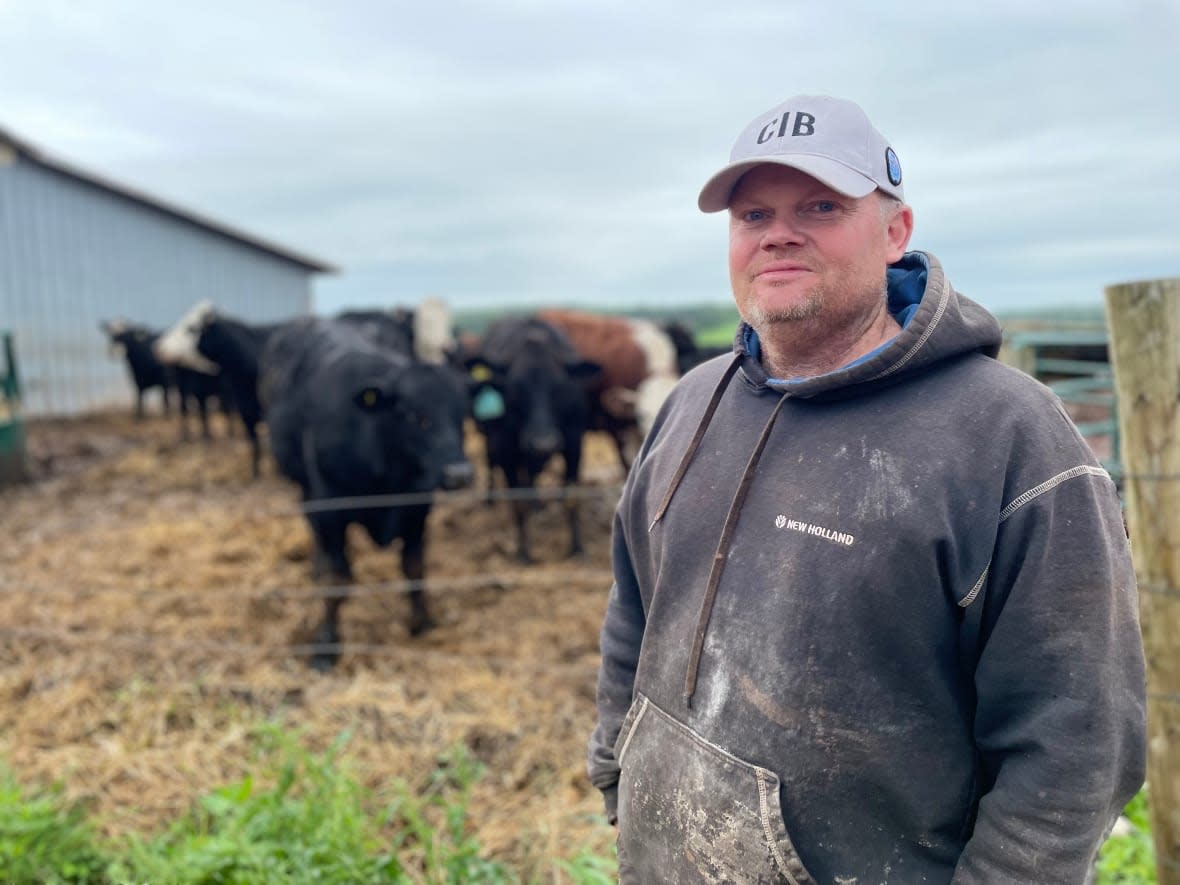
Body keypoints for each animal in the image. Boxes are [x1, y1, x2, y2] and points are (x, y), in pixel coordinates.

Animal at [259, 316, 474, 670]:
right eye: (413, 414)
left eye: (463, 414)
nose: (459, 474)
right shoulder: (330, 508)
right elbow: (337, 580)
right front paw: (326, 645)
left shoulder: (418, 506)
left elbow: (414, 568)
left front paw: (422, 622)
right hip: (305, 488)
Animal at [467, 318, 604, 564]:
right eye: (515, 388)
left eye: (559, 387)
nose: (543, 443)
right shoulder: (505, 450)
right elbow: (518, 503)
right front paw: (523, 552)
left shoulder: (574, 443)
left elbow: (571, 499)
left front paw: (577, 549)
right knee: (493, 464)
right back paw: (490, 500)